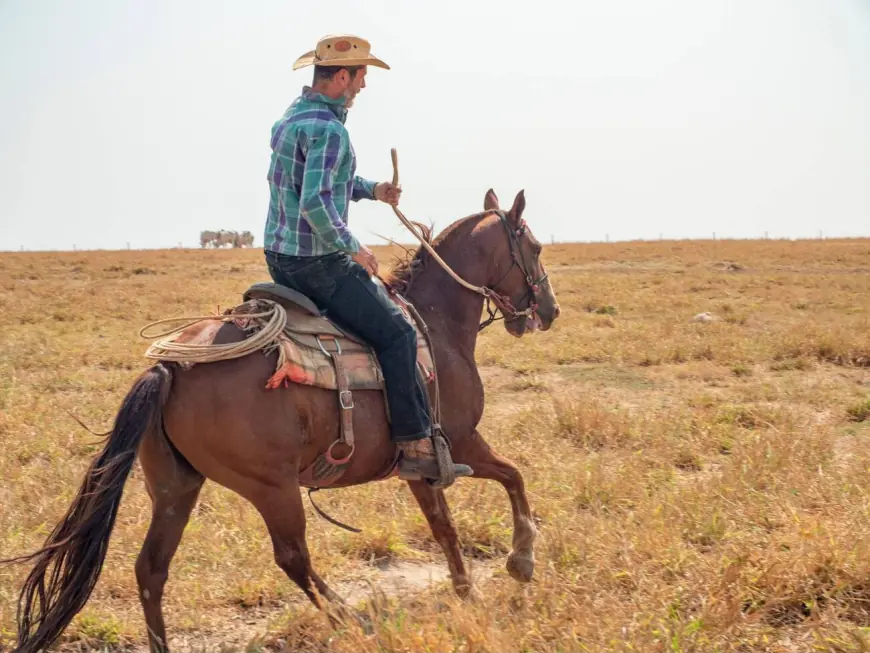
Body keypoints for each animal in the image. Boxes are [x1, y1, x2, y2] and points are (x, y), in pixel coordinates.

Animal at [3, 187, 564, 652]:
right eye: (535, 248)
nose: (550, 310)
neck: (435, 323)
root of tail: (172, 365)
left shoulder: (421, 464)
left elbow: (445, 525)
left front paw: (467, 591)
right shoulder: (460, 442)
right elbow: (512, 478)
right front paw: (520, 562)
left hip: (176, 487)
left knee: (151, 570)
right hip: (272, 488)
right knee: (293, 557)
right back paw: (352, 620)